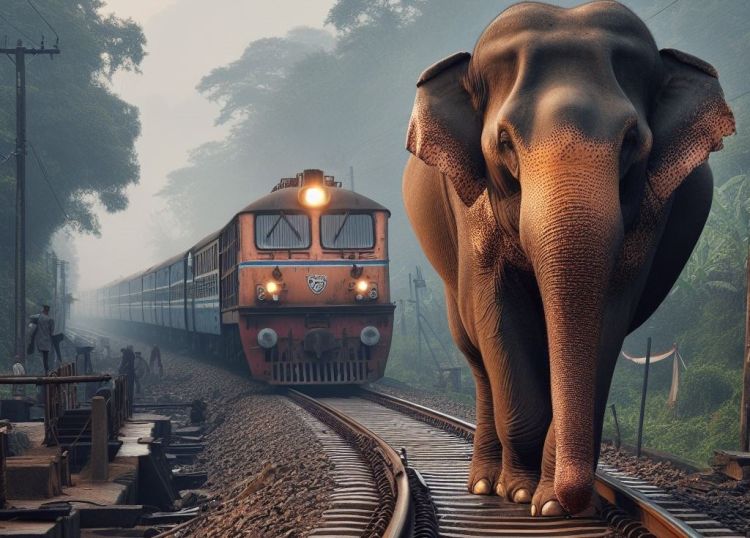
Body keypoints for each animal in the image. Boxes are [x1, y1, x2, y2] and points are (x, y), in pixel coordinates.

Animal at [402, 1, 734, 517]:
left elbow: (608, 321)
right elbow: (497, 314)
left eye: (632, 141)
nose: (574, 500)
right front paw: (520, 493)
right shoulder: (472, 209)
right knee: (476, 357)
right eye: (504, 142)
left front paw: (551, 503)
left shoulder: (647, 220)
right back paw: (485, 483)